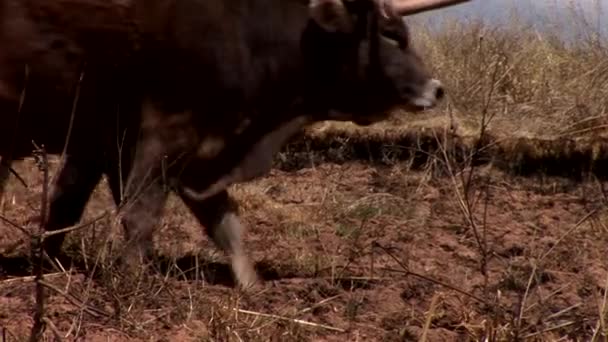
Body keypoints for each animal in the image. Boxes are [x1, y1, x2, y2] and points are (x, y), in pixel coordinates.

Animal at [0, 0, 470, 288]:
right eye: (390, 34)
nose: (437, 88)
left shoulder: (111, 142)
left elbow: (226, 225)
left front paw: (253, 287)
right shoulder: (166, 132)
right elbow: (140, 215)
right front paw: (131, 284)